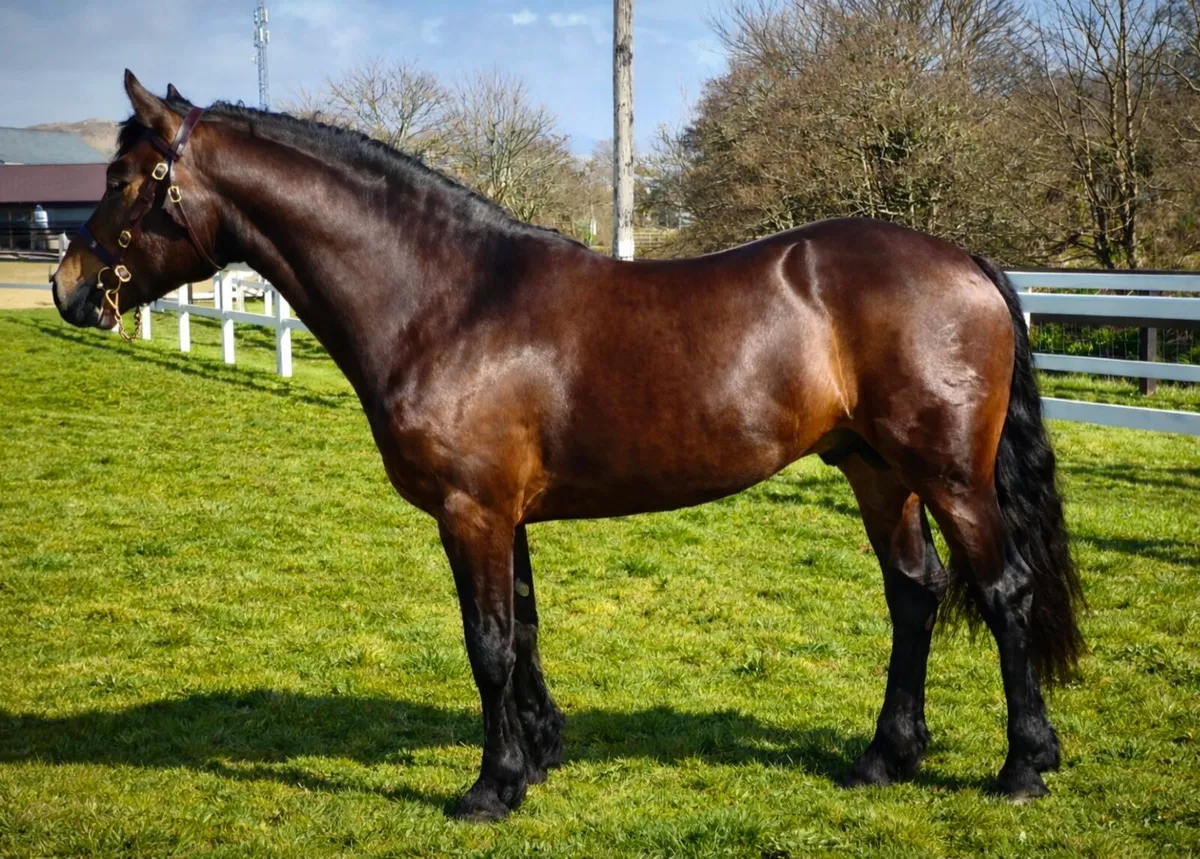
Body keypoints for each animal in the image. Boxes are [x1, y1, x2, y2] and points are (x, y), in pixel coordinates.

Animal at [49, 71, 1084, 821]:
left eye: (122, 181)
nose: (69, 288)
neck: (446, 298)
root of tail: (967, 262)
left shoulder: (471, 512)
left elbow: (487, 643)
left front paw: (488, 787)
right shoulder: (505, 515)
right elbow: (526, 631)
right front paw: (538, 757)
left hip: (949, 476)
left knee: (1002, 591)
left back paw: (1024, 767)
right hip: (878, 472)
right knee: (915, 594)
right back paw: (883, 758)